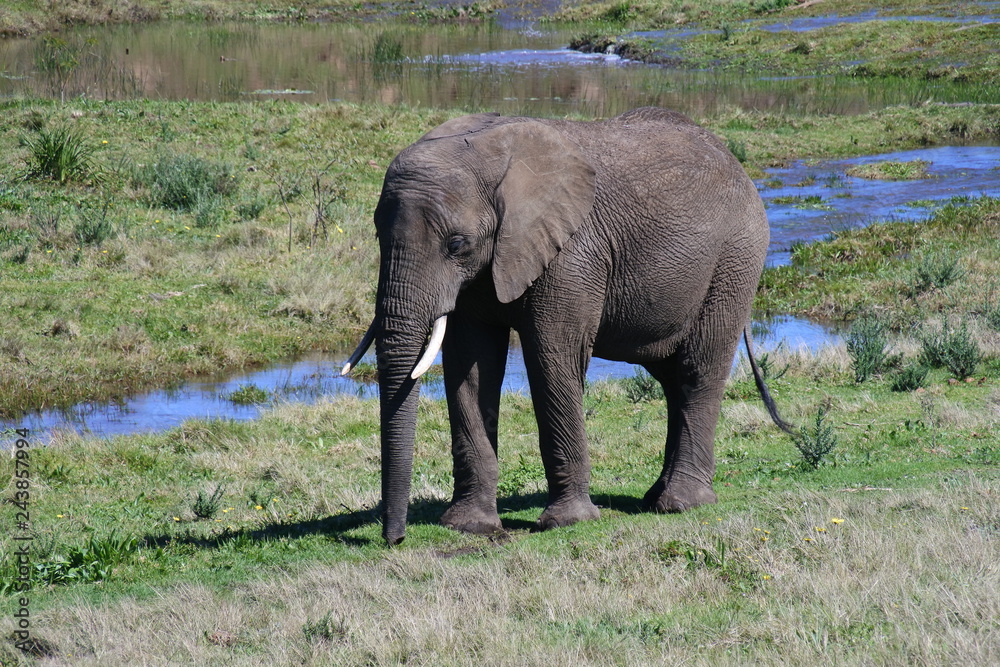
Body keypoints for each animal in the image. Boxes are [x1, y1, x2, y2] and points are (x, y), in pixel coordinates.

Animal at [343, 107, 792, 545]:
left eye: (456, 245)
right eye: (378, 236)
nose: (394, 539)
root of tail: (737, 164)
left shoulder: (571, 255)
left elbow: (552, 359)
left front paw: (567, 522)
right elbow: (470, 367)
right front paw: (468, 527)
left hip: (735, 259)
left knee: (698, 370)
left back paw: (681, 503)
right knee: (670, 378)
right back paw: (655, 497)